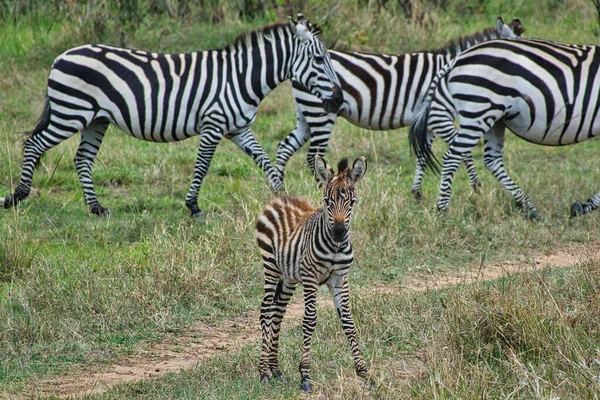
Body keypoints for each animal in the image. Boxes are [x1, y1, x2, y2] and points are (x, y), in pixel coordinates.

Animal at [2, 14, 342, 217]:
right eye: (318, 59)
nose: (338, 99)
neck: (241, 77)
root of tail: (61, 56)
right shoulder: (213, 123)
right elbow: (203, 165)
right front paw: (193, 206)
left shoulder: (238, 128)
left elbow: (266, 162)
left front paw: (283, 199)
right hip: (70, 112)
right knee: (34, 144)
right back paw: (17, 196)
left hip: (96, 120)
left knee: (81, 159)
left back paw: (97, 208)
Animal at [255, 155, 368, 392]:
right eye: (327, 201)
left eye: (352, 202)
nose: (339, 232)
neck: (334, 247)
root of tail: (277, 199)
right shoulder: (310, 278)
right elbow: (309, 320)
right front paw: (305, 375)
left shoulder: (340, 279)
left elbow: (348, 322)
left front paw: (363, 372)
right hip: (270, 265)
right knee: (266, 313)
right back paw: (263, 372)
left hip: (289, 276)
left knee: (278, 312)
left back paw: (275, 368)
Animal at [274, 16, 524, 197]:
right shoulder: (438, 118)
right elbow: (463, 151)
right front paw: (476, 187)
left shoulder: (428, 122)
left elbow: (423, 153)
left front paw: (416, 192)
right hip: (320, 114)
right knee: (312, 155)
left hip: (306, 115)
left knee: (285, 147)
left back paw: (278, 190)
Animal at [410, 36, 600, 219]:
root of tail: (458, 58)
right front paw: (586, 206)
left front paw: (583, 206)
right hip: (479, 112)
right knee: (452, 157)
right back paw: (443, 211)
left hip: (495, 119)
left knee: (491, 160)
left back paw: (528, 208)